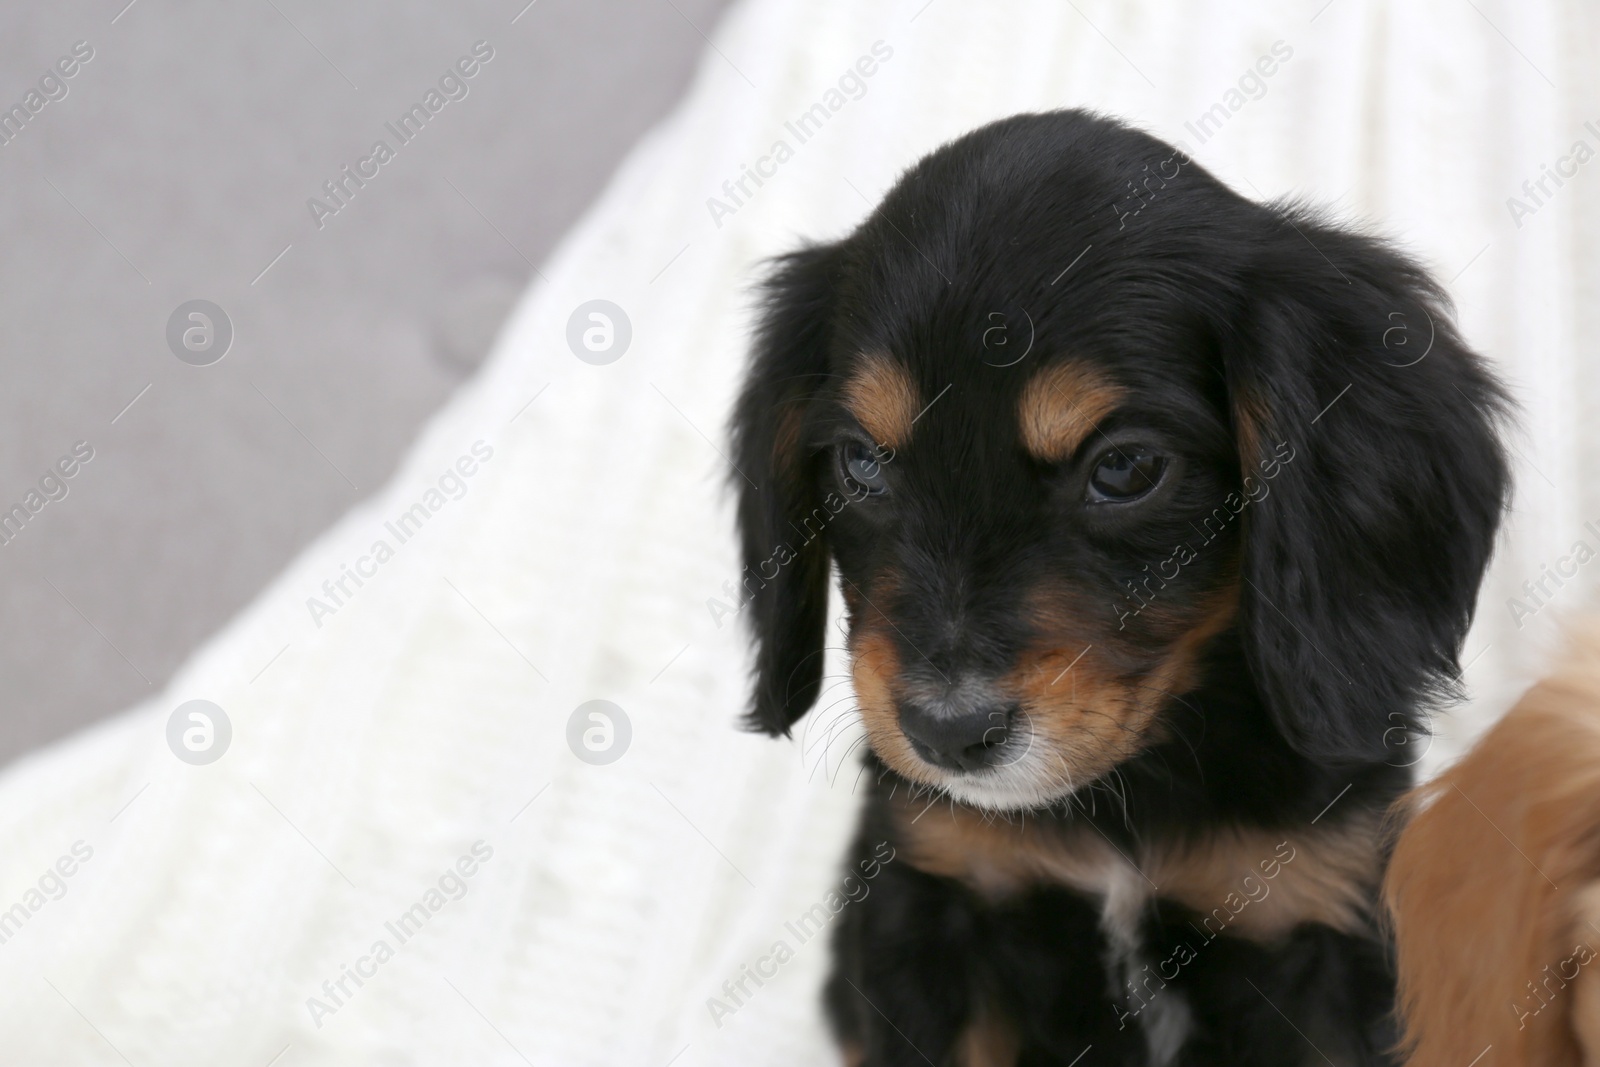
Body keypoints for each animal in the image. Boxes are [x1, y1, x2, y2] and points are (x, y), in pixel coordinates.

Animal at [732, 112, 1504, 1062]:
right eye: (861, 464)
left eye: (1127, 467)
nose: (946, 733)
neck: (1127, 804)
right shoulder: (936, 893)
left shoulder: (1321, 911)